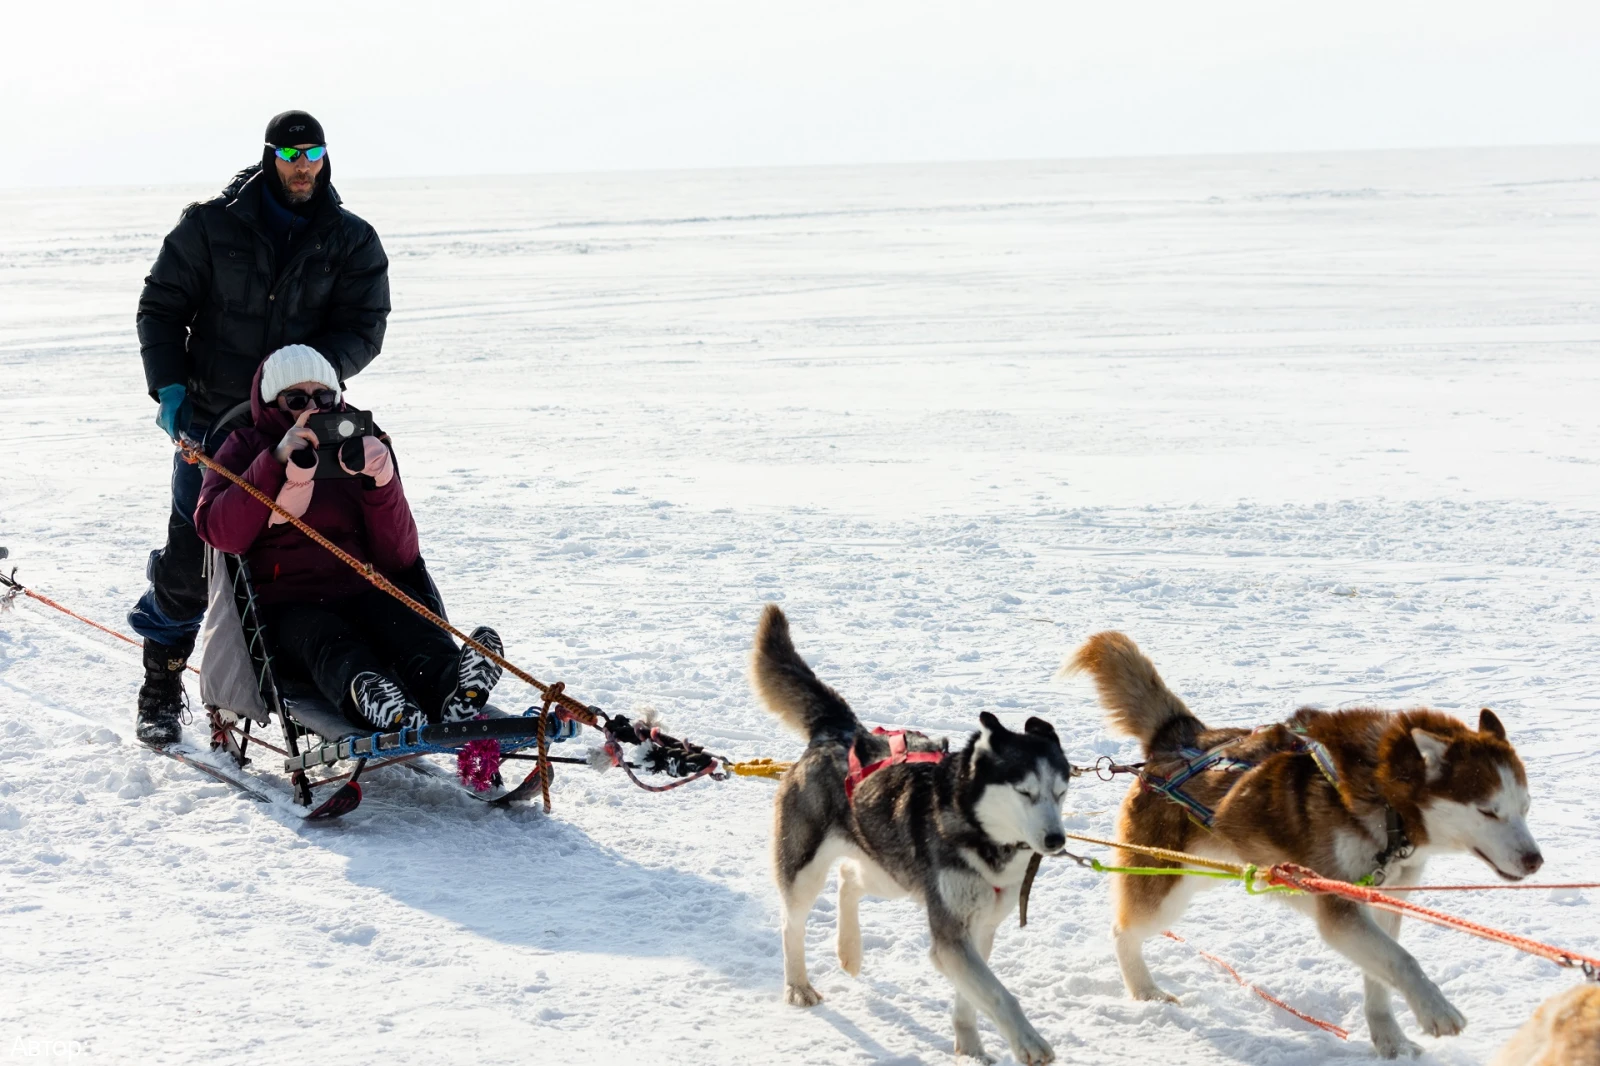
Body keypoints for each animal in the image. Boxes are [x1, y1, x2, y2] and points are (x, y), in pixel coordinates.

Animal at [751, 605, 1071, 1065]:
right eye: (1025, 792)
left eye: (1060, 792)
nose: (1056, 841)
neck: (979, 836)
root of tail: (842, 732)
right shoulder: (952, 935)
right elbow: (999, 995)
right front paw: (1028, 1041)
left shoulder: (979, 930)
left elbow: (971, 1000)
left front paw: (970, 1048)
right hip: (804, 872)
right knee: (790, 925)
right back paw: (798, 985)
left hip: (893, 874)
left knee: (849, 879)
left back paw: (849, 950)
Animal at [1067, 631, 1543, 1059]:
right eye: (1488, 811)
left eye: (1524, 807)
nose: (1536, 860)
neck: (1386, 801)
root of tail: (1180, 740)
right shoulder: (1338, 906)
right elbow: (1403, 960)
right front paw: (1435, 1011)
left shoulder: (1381, 902)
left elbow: (1381, 978)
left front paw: (1391, 1042)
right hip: (1163, 887)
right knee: (1123, 931)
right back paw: (1145, 991)